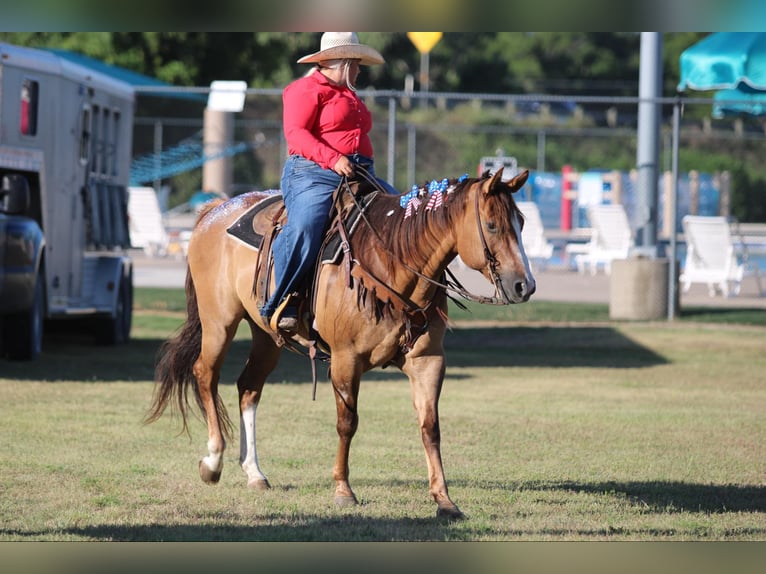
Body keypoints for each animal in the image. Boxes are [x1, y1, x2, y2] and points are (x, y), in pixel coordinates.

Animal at [146, 167, 535, 519]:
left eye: (522, 222)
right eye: (492, 225)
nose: (524, 285)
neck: (392, 262)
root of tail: (215, 210)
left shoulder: (428, 360)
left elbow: (430, 427)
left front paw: (444, 499)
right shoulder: (346, 360)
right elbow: (347, 423)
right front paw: (343, 491)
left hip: (267, 335)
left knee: (248, 388)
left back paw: (254, 473)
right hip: (219, 322)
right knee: (206, 375)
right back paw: (213, 462)